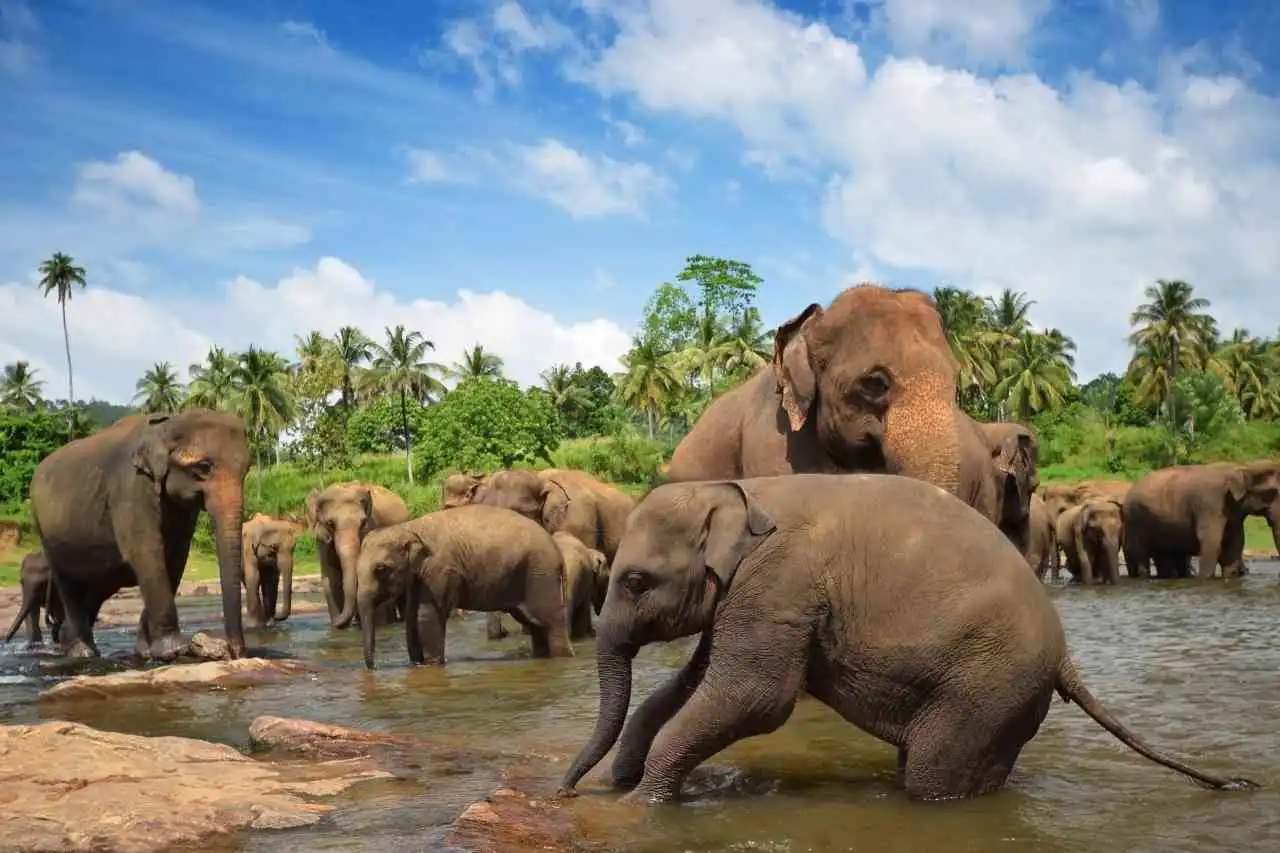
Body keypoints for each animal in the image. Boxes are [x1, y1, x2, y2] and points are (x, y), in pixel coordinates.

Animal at [30, 410, 249, 660]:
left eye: (247, 469)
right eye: (203, 467)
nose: (236, 652)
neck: (167, 425)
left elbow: (175, 559)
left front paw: (146, 652)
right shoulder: (131, 489)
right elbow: (148, 555)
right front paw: (173, 651)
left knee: (96, 587)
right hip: (45, 533)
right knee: (69, 584)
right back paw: (83, 652)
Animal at [305, 481, 410, 628]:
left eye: (363, 522)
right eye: (330, 523)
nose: (334, 622)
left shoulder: (372, 529)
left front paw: (380, 626)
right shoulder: (322, 542)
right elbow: (331, 579)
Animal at [353, 504, 574, 669]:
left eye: (380, 568)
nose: (375, 667)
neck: (410, 527)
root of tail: (558, 551)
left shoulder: (439, 569)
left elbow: (427, 615)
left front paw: (432, 665)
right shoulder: (419, 577)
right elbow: (411, 616)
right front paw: (417, 664)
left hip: (541, 574)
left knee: (551, 622)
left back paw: (563, 658)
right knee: (535, 624)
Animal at [558, 473, 1256, 804]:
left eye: (637, 581)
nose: (564, 790)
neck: (739, 489)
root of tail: (1065, 657)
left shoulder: (779, 582)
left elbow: (755, 697)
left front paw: (642, 803)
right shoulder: (751, 595)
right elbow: (696, 682)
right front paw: (625, 781)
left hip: (987, 685)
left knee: (932, 777)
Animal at [1123, 461, 1280, 580]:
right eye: (1274, 493)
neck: (1244, 467)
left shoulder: (1234, 514)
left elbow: (1234, 546)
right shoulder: (1210, 505)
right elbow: (1211, 543)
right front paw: (1205, 579)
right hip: (1134, 520)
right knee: (1142, 556)